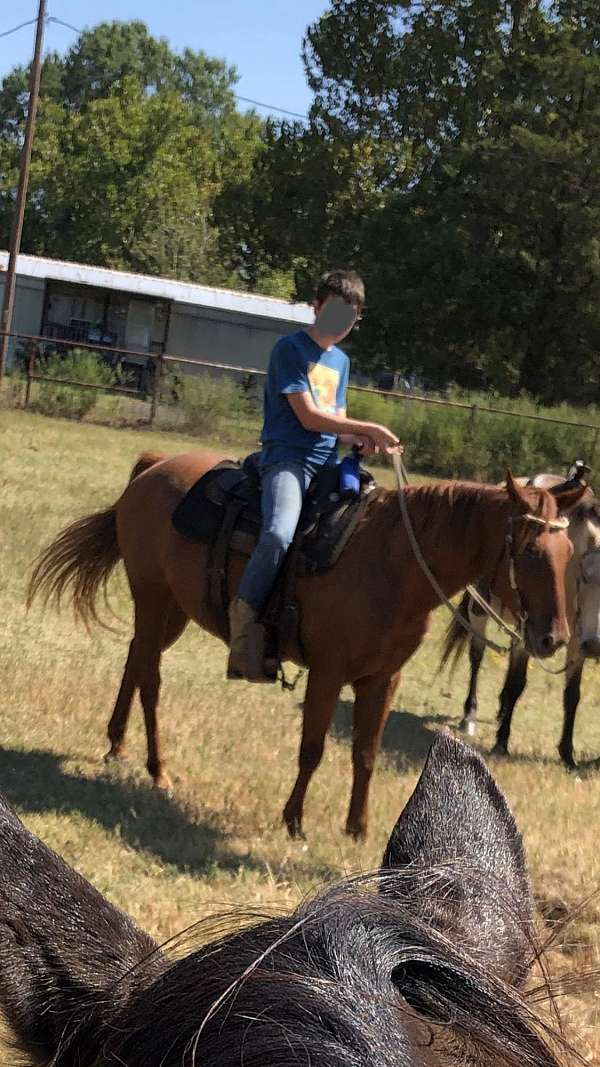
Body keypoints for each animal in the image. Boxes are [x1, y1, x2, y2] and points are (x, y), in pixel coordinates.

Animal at [26, 454, 580, 836]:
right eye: (531, 551)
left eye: (570, 550)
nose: (552, 638)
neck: (392, 564)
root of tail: (152, 466)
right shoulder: (328, 671)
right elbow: (312, 747)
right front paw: (294, 820)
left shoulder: (384, 678)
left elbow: (365, 751)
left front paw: (358, 828)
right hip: (152, 595)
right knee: (151, 679)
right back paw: (157, 768)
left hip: (172, 611)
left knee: (136, 661)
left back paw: (117, 745)